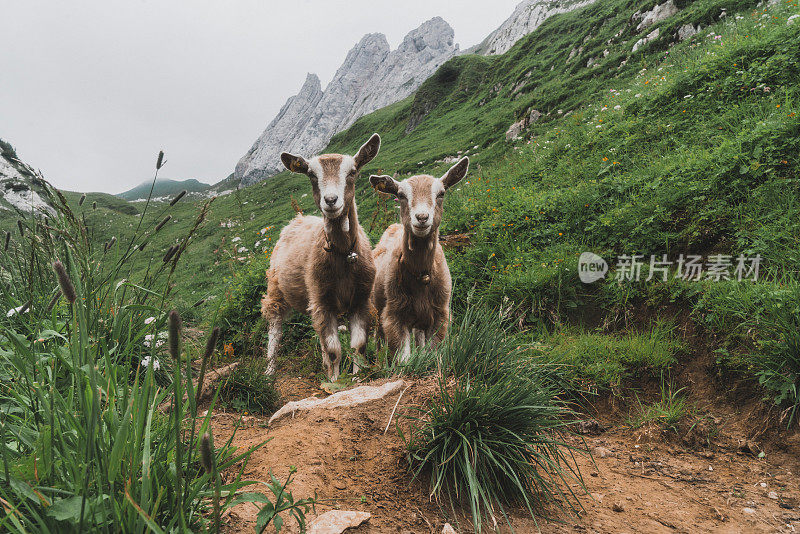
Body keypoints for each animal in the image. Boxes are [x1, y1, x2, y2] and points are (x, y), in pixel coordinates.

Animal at [260, 136, 378, 384]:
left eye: (353, 171)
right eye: (311, 174)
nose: (331, 200)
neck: (343, 254)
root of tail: (297, 220)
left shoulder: (361, 299)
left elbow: (358, 345)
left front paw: (357, 378)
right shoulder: (322, 299)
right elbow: (334, 349)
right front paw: (334, 382)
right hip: (277, 288)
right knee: (275, 328)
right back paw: (269, 371)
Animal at [368, 157, 468, 362]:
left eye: (441, 193)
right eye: (400, 195)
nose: (422, 217)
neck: (421, 273)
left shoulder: (440, 315)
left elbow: (433, 353)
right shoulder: (394, 316)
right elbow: (402, 359)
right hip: (377, 310)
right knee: (377, 340)